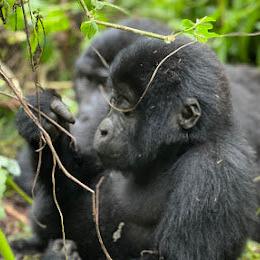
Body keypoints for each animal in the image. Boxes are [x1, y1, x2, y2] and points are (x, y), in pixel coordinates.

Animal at [13, 35, 256, 258]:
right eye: (113, 100)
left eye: (126, 106)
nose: (103, 130)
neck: (176, 149)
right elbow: (72, 183)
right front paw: (42, 116)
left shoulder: (210, 171)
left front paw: (58, 256)